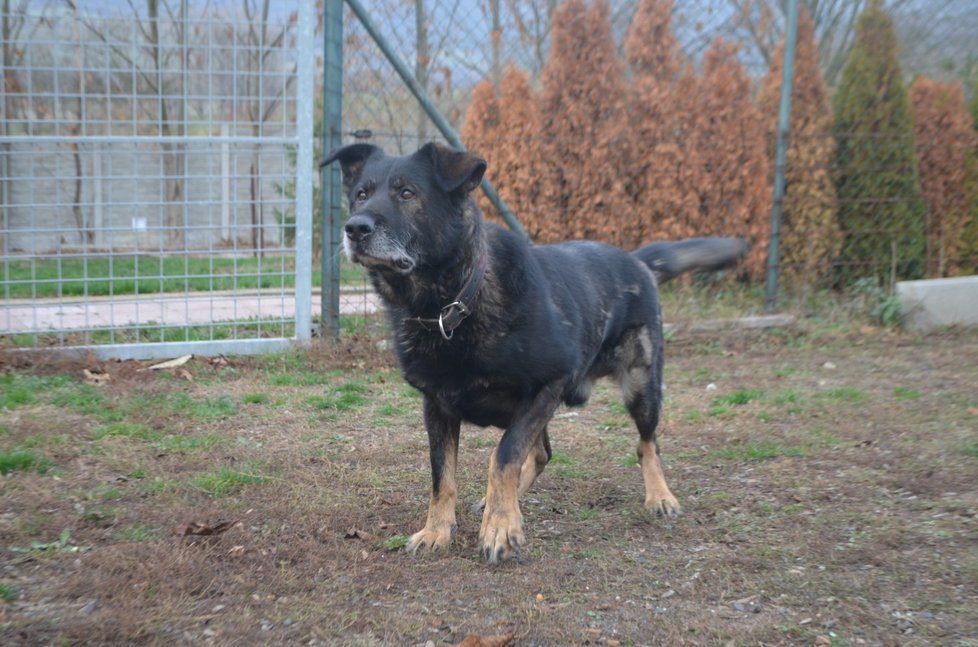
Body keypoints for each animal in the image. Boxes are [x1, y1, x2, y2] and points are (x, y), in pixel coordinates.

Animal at [324, 144, 744, 564]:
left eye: (407, 193)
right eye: (360, 194)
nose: (355, 228)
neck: (454, 303)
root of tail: (636, 258)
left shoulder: (548, 385)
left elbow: (503, 456)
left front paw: (500, 527)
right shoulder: (437, 406)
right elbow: (443, 475)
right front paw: (439, 530)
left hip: (641, 386)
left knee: (646, 444)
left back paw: (659, 496)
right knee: (543, 453)